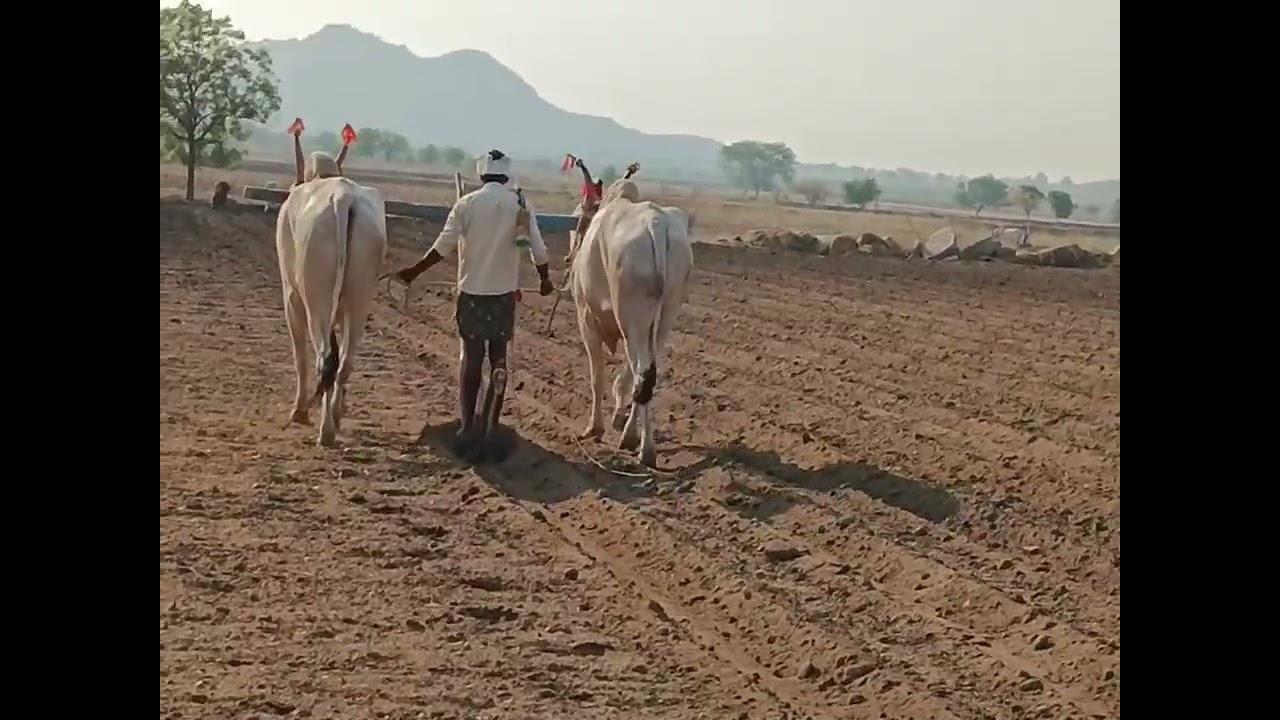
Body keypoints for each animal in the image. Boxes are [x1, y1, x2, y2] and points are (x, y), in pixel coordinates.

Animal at [275, 171, 388, 447]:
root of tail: (343, 197)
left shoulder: (291, 299)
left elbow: (300, 357)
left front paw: (299, 410)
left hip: (316, 302)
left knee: (324, 360)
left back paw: (325, 431)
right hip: (359, 300)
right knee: (344, 362)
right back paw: (334, 417)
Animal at [567, 180, 694, 466]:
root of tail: (657, 223)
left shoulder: (586, 321)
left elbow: (598, 378)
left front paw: (595, 428)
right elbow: (624, 378)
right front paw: (617, 418)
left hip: (632, 319)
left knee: (642, 374)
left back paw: (640, 446)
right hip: (661, 319)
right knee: (645, 375)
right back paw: (637, 440)